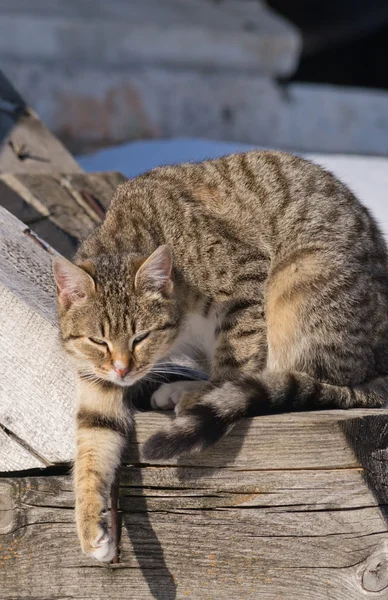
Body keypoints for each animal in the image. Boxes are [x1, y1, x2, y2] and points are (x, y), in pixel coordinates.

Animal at [53, 149, 388, 556]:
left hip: (299, 279)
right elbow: (95, 432)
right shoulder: (95, 372)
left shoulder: (246, 278)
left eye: (141, 337)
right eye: (98, 341)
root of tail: (379, 366)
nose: (123, 369)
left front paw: (213, 392)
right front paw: (90, 525)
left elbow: (235, 355)